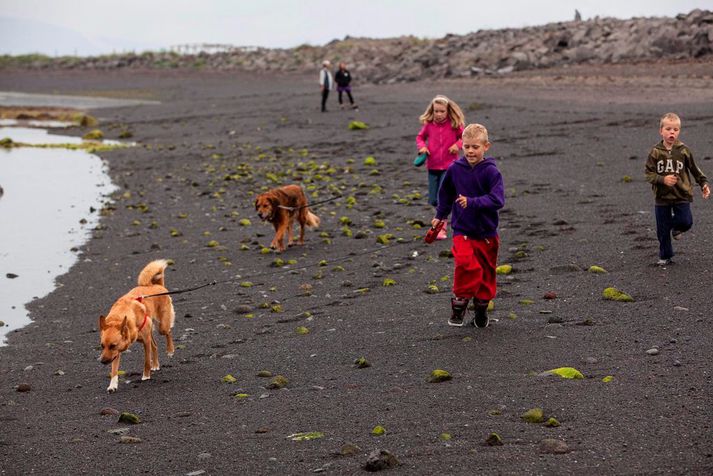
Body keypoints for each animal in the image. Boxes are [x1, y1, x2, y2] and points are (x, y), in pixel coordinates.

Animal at [98, 258, 175, 392]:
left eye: (113, 345)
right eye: (102, 346)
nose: (102, 361)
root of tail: (157, 285)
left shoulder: (144, 342)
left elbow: (146, 361)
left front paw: (146, 375)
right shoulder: (117, 352)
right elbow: (114, 370)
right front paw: (112, 385)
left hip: (161, 327)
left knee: (168, 331)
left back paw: (170, 350)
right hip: (149, 333)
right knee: (155, 345)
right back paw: (156, 364)